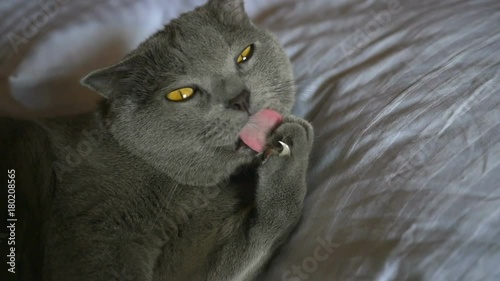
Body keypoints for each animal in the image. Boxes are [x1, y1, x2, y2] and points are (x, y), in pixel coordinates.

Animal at [0, 0, 312, 280]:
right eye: (181, 94)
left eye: (245, 55)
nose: (241, 98)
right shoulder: (94, 229)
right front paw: (289, 150)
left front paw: (287, 151)